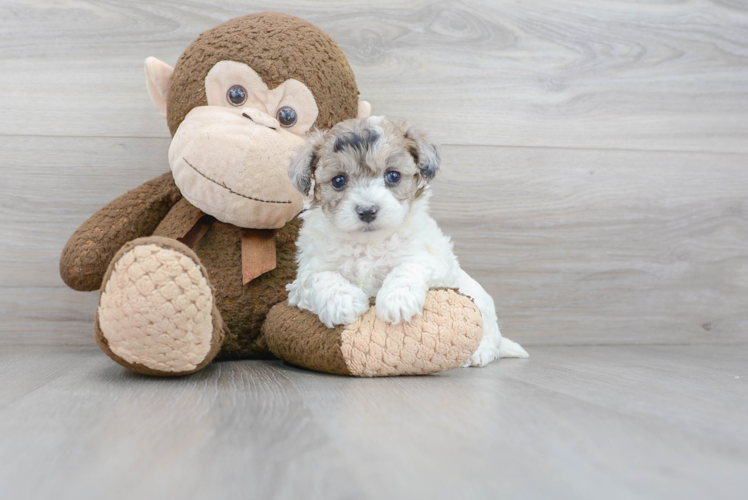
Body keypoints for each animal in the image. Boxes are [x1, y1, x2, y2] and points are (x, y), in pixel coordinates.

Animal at [284, 117, 524, 368]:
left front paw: (397, 300)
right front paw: (342, 302)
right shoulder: (303, 279)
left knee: (489, 335)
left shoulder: (434, 262)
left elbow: (408, 266)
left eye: (393, 176)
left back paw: (479, 353)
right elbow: (321, 277)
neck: (368, 243)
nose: (367, 210)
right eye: (338, 180)